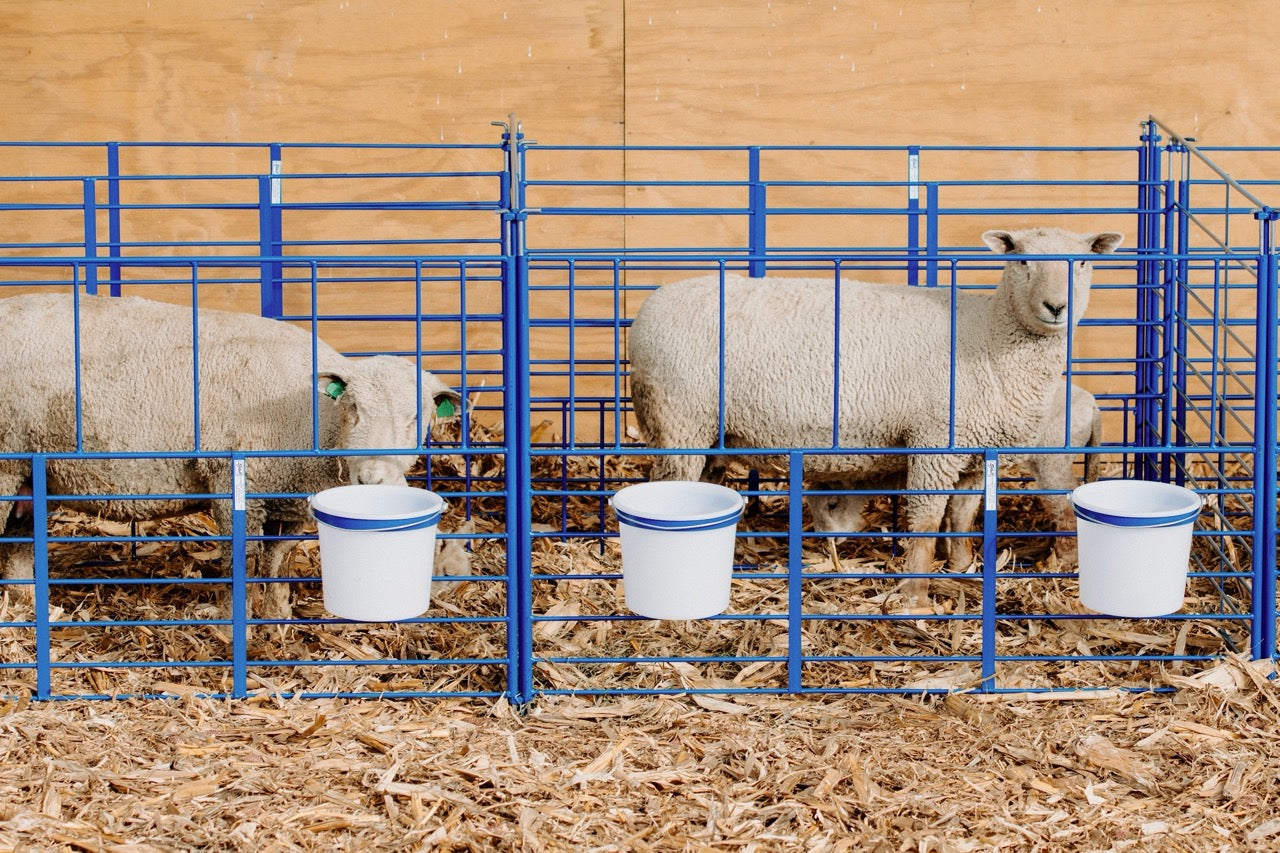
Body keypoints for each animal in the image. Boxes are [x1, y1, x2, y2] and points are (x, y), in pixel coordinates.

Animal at [0, 292, 461, 618]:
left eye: (416, 417)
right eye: (353, 410)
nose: (372, 479)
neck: (313, 416)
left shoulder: (287, 495)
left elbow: (278, 561)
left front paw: (278, 616)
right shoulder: (234, 479)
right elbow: (241, 561)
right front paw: (231, 618)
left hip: (31, 471)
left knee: (18, 543)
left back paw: (31, 604)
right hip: (7, 458)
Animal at [809, 380, 1103, 567]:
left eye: (832, 504)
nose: (827, 542)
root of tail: (1093, 406)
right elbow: (950, 515)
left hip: (1052, 459)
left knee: (1065, 508)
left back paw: (1058, 562)